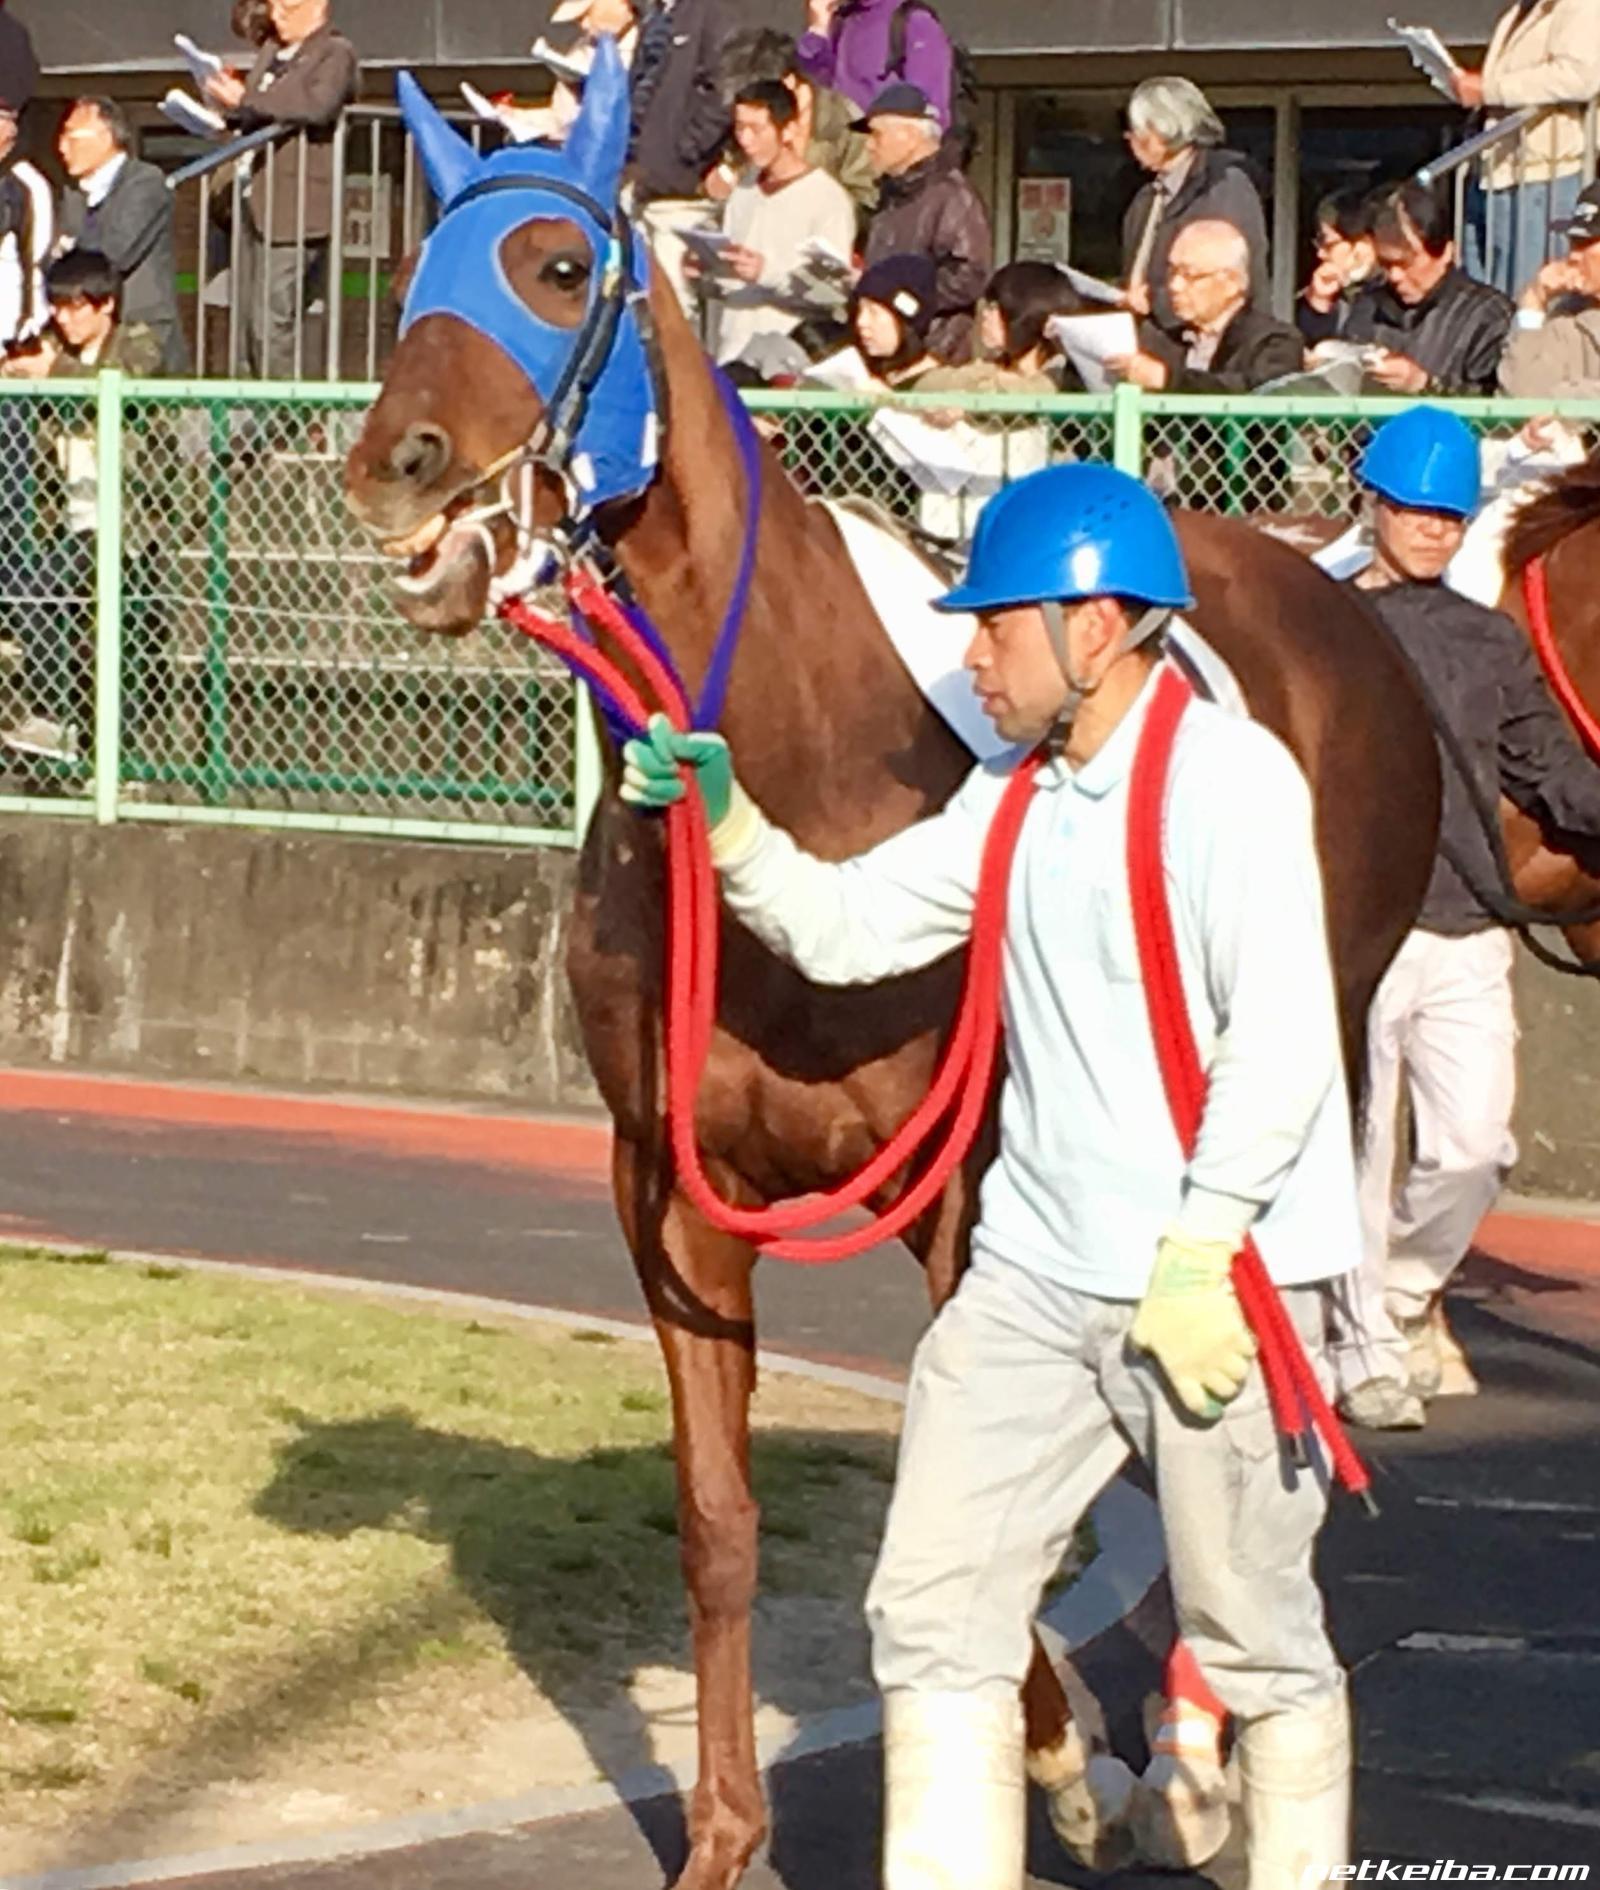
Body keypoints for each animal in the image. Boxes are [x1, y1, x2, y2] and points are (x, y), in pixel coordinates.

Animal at [341, 46, 1440, 1890]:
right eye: (410, 269)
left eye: (556, 268)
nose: (393, 469)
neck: (817, 742)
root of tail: (1335, 591)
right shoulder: (673, 1199)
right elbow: (723, 1525)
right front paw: (726, 1833)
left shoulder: (964, 1196)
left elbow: (993, 1504)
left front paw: (1081, 1764)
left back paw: (1202, 1754)